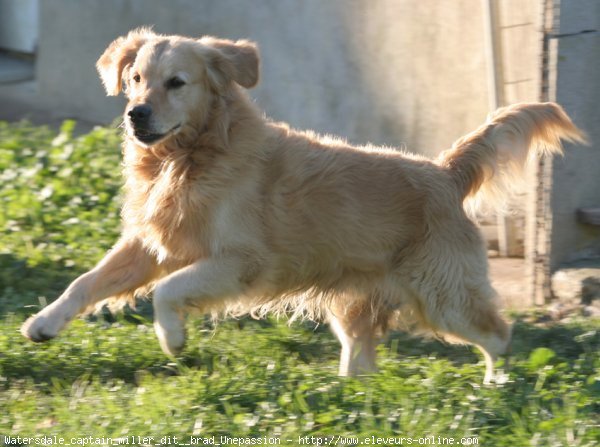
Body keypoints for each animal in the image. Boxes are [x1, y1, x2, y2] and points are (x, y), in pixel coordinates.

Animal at [21, 28, 584, 384]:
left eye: (176, 83)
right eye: (136, 78)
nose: (136, 114)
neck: (191, 158)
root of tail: (445, 172)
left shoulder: (239, 261)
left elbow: (166, 291)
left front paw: (172, 338)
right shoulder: (151, 244)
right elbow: (86, 282)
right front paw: (44, 323)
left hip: (443, 297)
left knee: (499, 334)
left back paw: (496, 384)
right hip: (356, 304)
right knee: (362, 358)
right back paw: (351, 393)